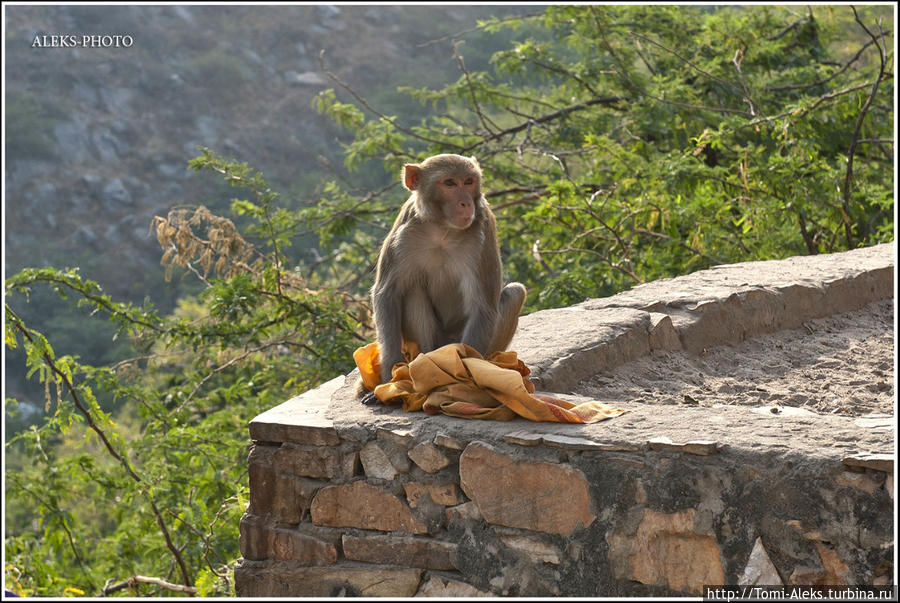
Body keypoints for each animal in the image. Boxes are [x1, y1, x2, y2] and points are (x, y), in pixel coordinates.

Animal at [358, 155, 528, 402]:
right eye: (449, 183)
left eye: (468, 181)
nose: (465, 203)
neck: (443, 229)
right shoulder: (404, 232)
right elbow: (387, 292)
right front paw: (391, 380)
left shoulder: (482, 233)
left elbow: (483, 307)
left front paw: (465, 384)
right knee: (413, 290)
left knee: (515, 292)